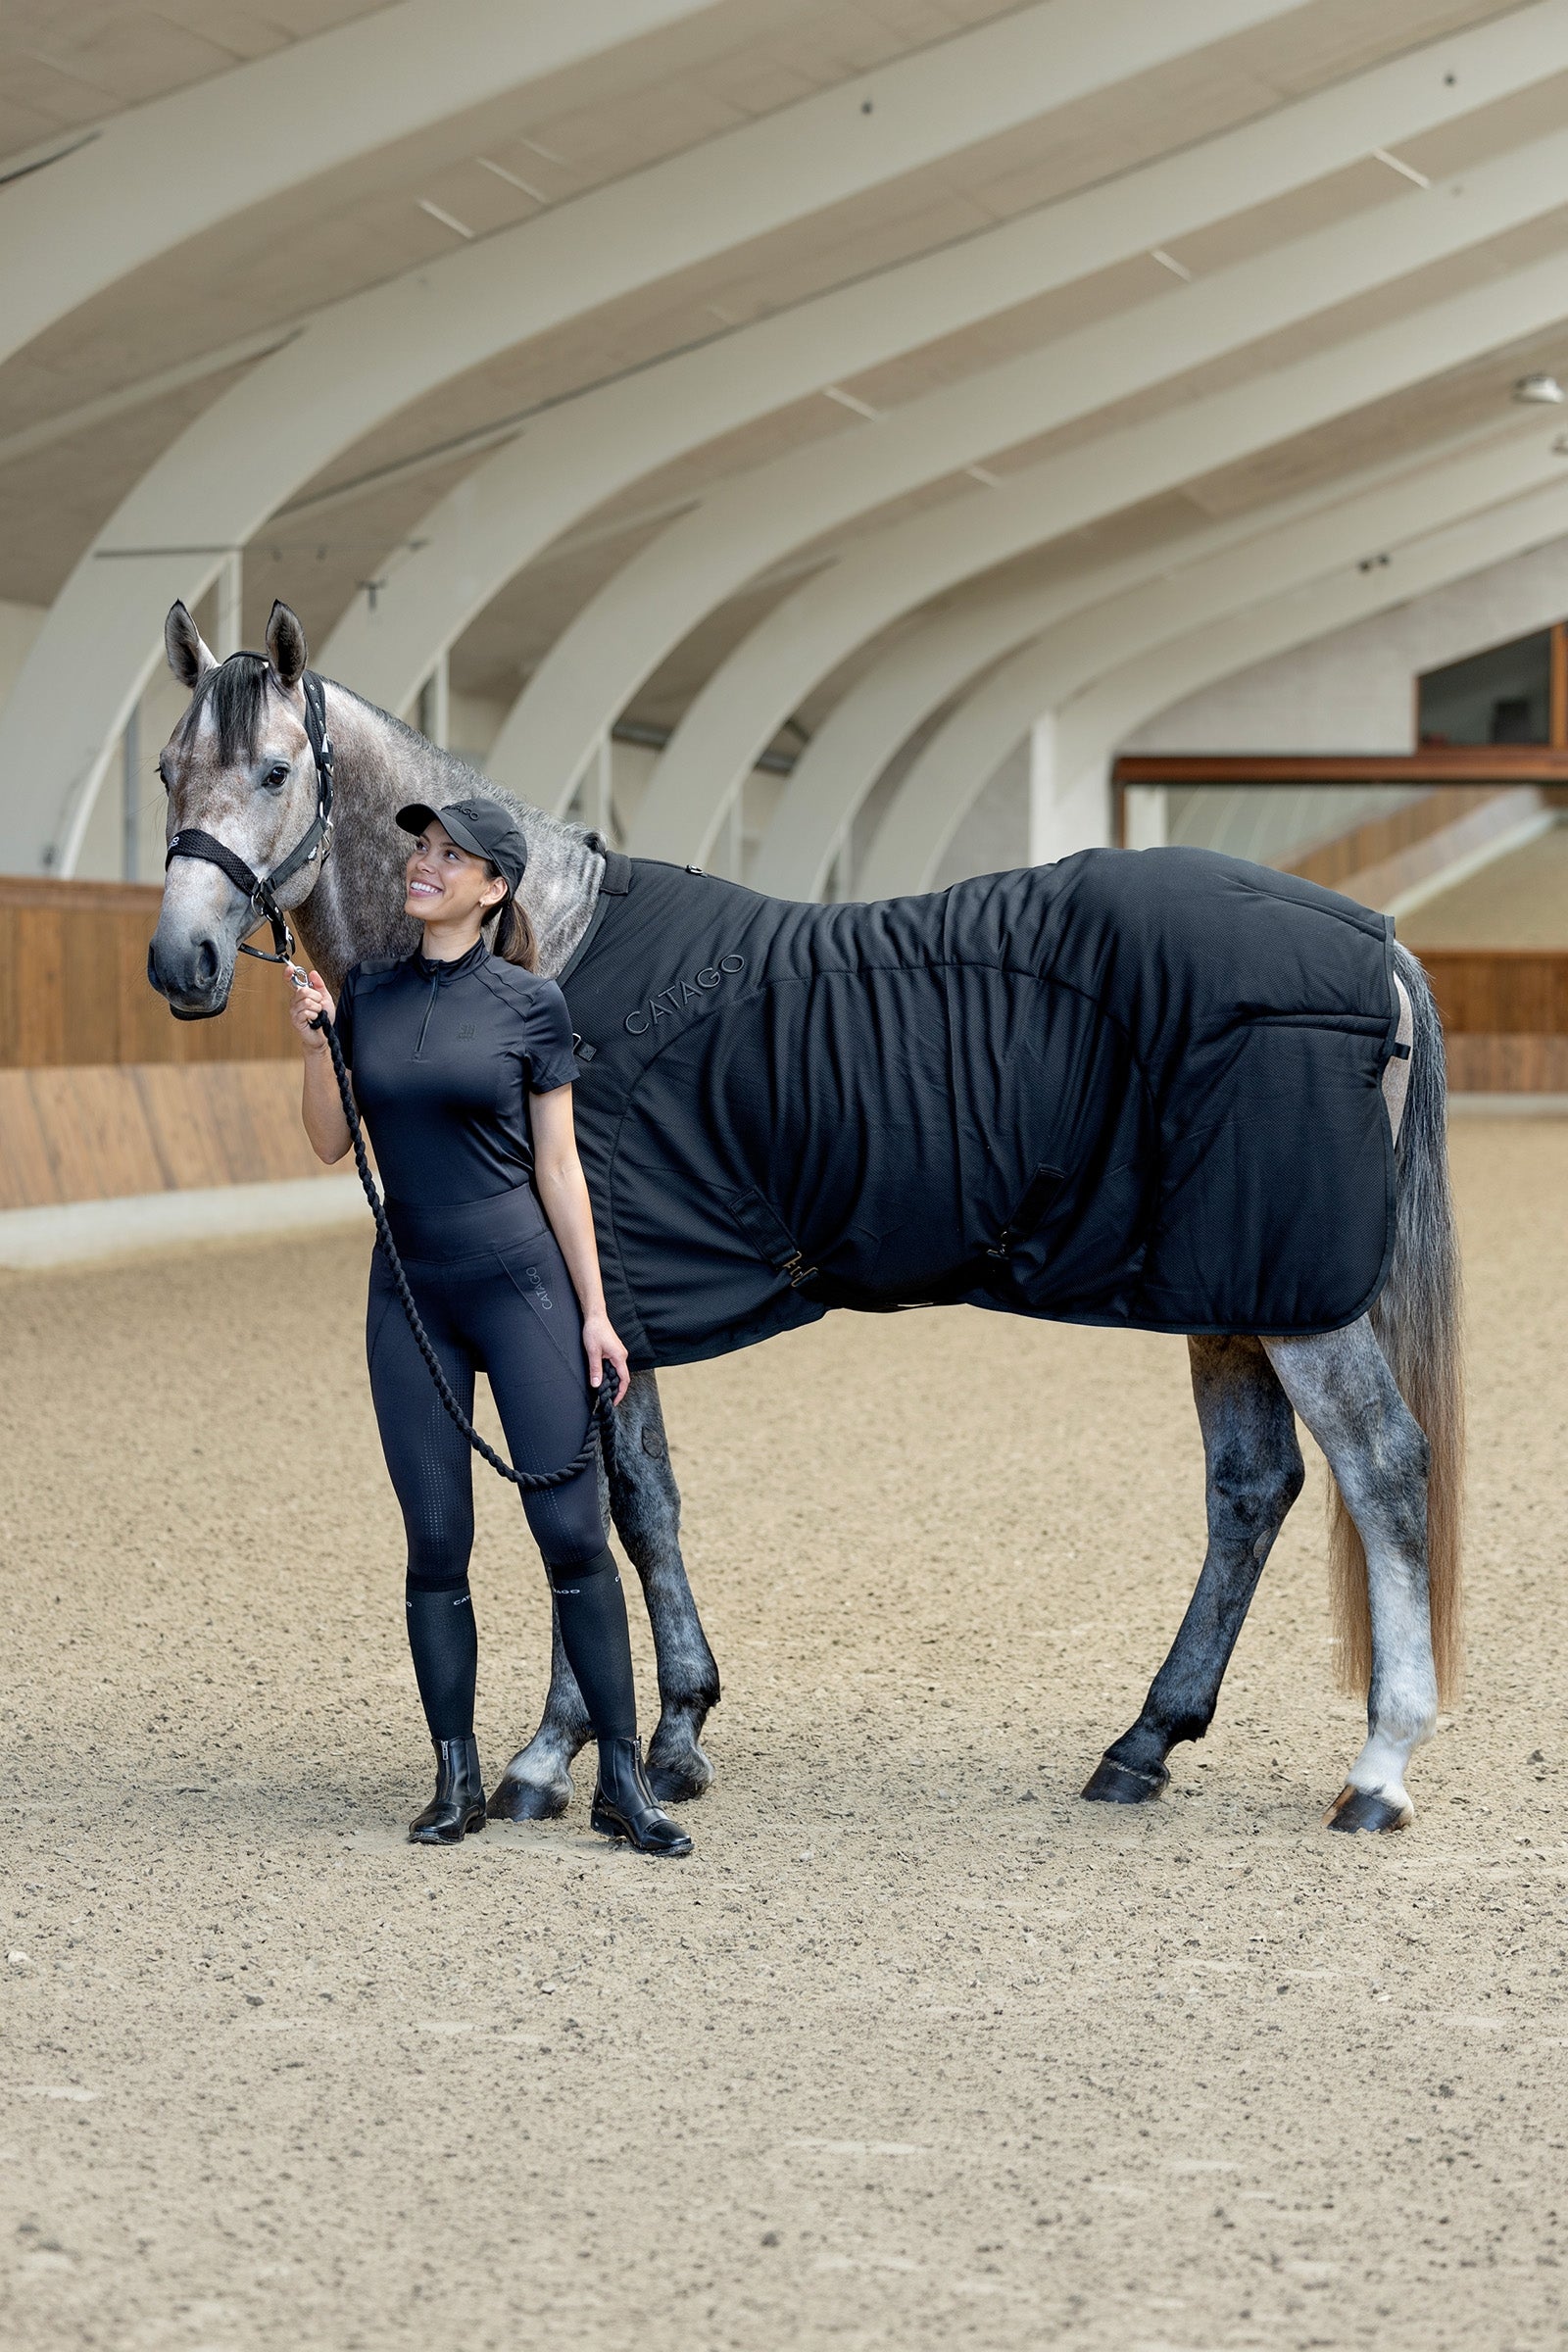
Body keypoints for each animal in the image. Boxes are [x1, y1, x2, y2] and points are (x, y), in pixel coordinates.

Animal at [147, 598, 1462, 1836]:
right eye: (165, 767)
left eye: (275, 769)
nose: (181, 961)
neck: (548, 945)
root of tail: (1374, 943)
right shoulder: (620, 1320)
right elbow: (642, 1507)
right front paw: (674, 1732)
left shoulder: (590, 1312)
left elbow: (600, 1514)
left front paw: (557, 1755)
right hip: (1226, 1289)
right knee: (1250, 1489)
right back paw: (1143, 1744)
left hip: (1296, 1301)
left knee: (1382, 1468)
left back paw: (1378, 1770)